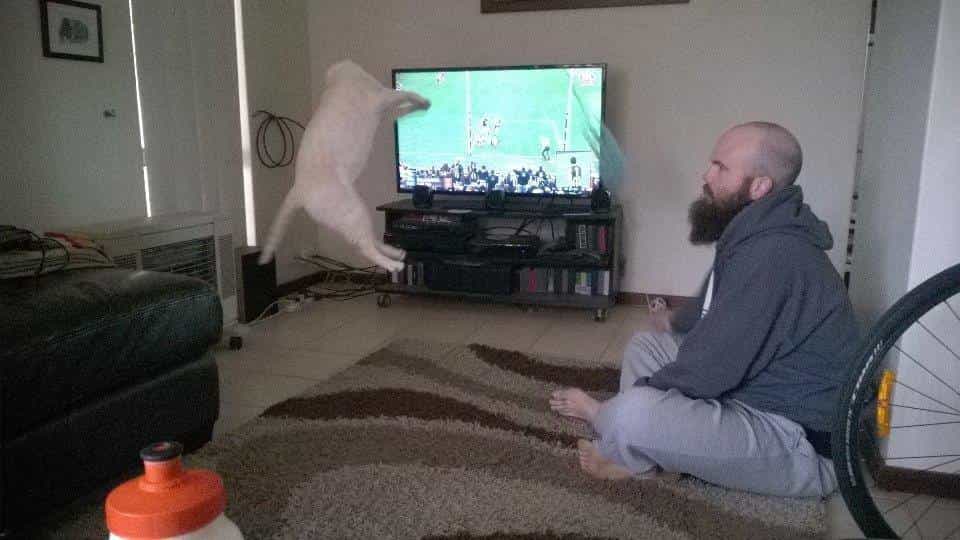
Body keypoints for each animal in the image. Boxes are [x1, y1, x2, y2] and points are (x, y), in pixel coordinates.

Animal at [258, 59, 432, 272]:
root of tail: (298, 189)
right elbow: (406, 93)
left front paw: (421, 106)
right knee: (365, 246)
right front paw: (424, 101)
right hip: (352, 209)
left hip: (354, 212)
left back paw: (396, 252)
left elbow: (405, 107)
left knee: (370, 240)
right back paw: (394, 264)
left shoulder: (385, 111)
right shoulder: (382, 97)